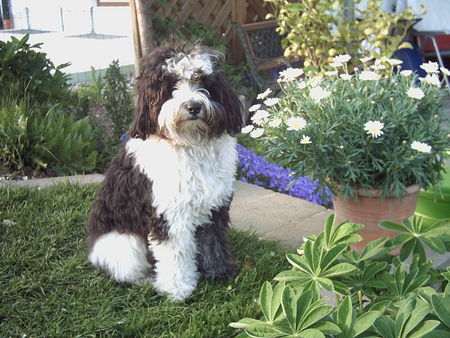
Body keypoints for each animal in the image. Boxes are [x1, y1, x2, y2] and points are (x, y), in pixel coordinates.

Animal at [87, 40, 243, 302]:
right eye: (171, 86)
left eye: (203, 83)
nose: (193, 106)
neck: (190, 145)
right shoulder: (169, 214)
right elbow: (176, 254)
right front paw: (177, 289)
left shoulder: (215, 207)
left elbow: (213, 243)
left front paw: (219, 272)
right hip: (125, 244)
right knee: (125, 270)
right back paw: (148, 281)